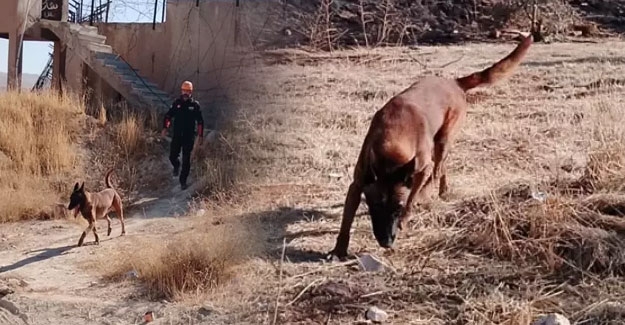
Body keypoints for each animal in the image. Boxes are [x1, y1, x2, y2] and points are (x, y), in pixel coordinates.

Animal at [326, 34, 532, 258]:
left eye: (397, 209)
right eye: (376, 207)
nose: (387, 243)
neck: (392, 141)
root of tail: (454, 83)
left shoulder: (421, 169)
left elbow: (413, 197)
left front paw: (408, 215)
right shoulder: (357, 184)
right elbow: (346, 221)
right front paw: (339, 249)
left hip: (442, 142)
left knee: (438, 168)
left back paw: (431, 193)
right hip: (439, 144)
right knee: (443, 167)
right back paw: (443, 190)